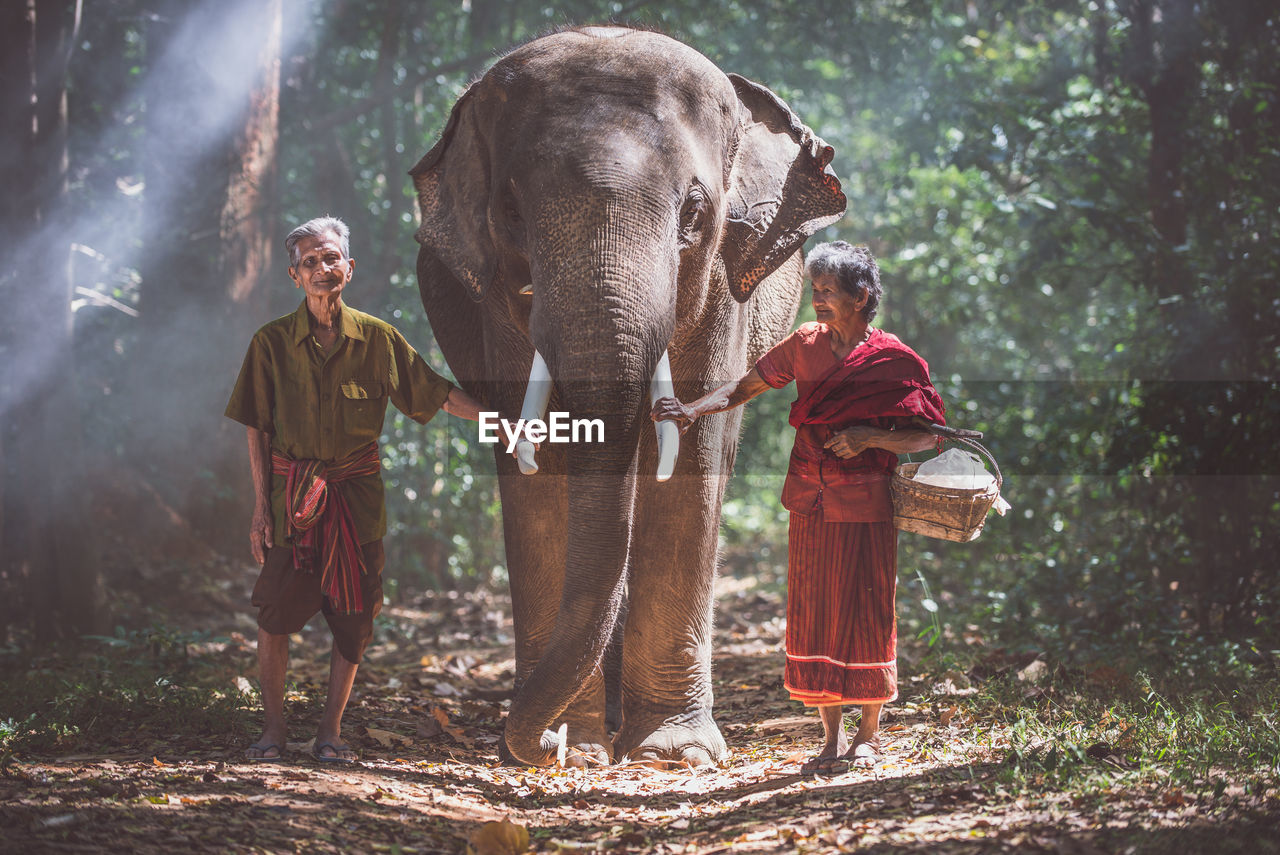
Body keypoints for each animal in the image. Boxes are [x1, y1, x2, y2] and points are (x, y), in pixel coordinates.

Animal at [412, 26, 849, 762]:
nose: (543, 744)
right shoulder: (498, 302)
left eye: (695, 211)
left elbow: (692, 462)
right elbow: (542, 472)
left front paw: (674, 752)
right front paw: (580, 744)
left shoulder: (722, 285)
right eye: (510, 212)